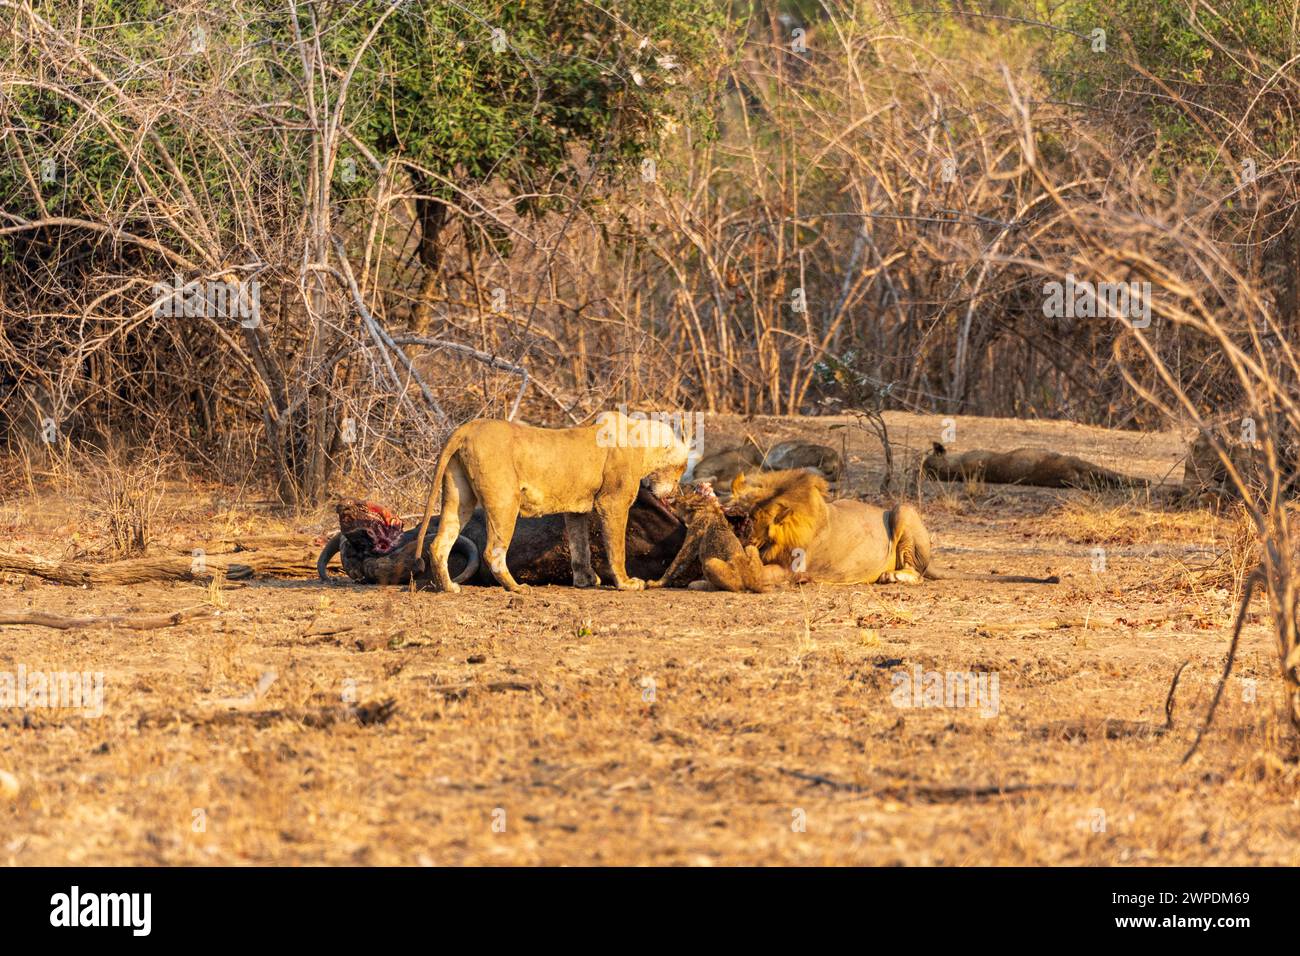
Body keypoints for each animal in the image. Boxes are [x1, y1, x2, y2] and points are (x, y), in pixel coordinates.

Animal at [416, 411, 691, 590]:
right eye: (681, 469)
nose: (674, 493)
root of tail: (468, 428)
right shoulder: (613, 502)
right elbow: (616, 548)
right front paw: (626, 583)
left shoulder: (576, 510)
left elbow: (580, 547)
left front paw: (585, 581)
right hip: (504, 500)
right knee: (492, 551)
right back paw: (517, 588)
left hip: (459, 498)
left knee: (439, 544)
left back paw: (449, 587)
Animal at [733, 468, 1055, 587]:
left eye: (750, 518)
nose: (733, 523)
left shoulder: (794, 567)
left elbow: (767, 572)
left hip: (903, 510)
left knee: (918, 574)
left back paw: (891, 576)